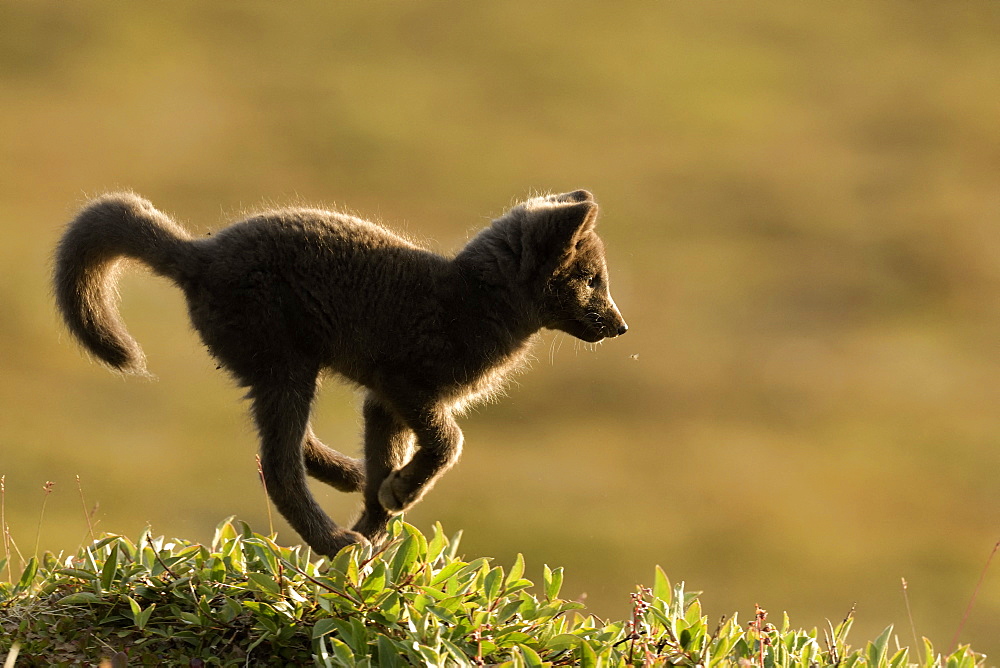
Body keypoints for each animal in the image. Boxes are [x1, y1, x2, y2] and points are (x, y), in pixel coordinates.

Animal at [52, 190, 624, 556]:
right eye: (592, 280)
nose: (621, 327)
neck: (471, 302)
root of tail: (200, 253)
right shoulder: (404, 385)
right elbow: (449, 442)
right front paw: (396, 498)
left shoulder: (382, 402)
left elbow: (395, 462)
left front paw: (380, 518)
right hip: (287, 370)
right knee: (277, 466)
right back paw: (332, 542)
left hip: (282, 370)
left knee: (288, 444)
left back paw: (350, 479)